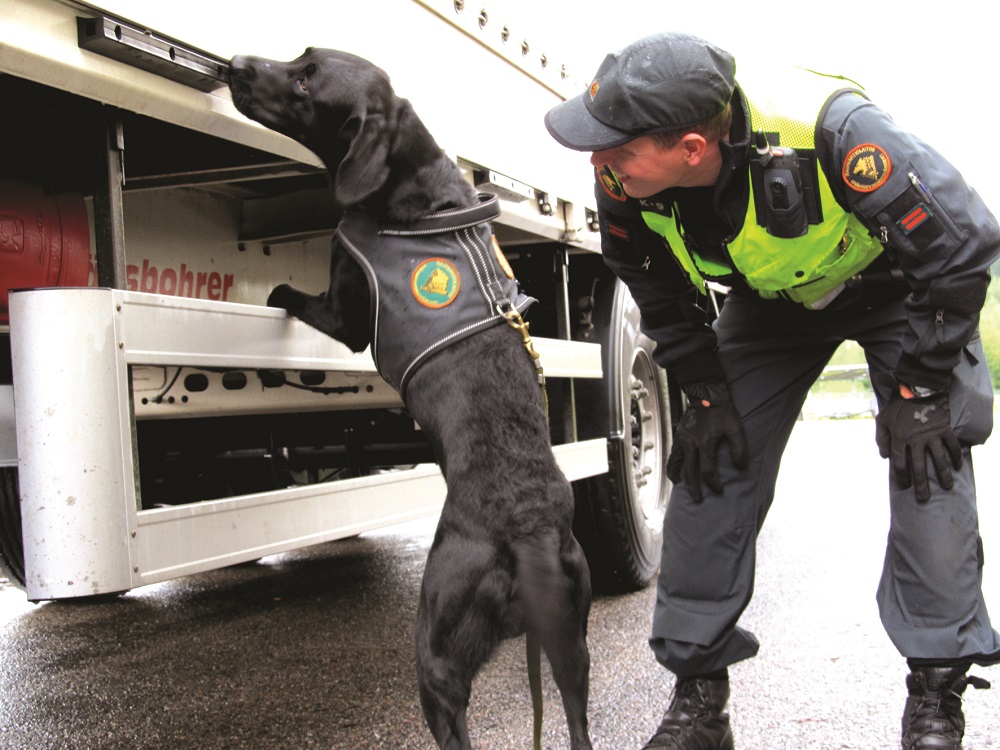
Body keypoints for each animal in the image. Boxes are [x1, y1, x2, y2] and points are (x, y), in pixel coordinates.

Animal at [230, 50, 592, 748]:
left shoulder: (344, 311)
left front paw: (273, 292)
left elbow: (296, 297)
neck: (420, 194)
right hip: (572, 642)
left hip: (439, 646)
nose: (235, 63)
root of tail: (530, 532)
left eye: (305, 79)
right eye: (299, 57)